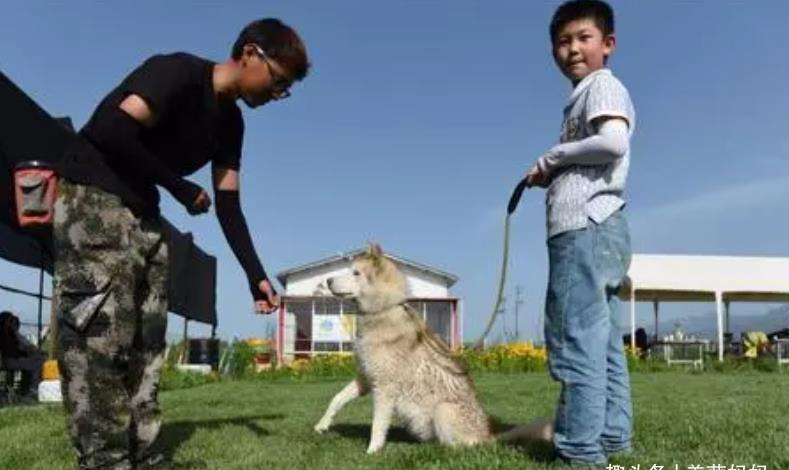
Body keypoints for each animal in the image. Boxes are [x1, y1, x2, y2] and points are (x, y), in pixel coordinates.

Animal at [310, 244, 552, 454]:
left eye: (356, 273)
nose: (327, 280)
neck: (382, 311)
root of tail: (489, 435)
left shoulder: (384, 389)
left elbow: (377, 425)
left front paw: (372, 451)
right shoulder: (367, 379)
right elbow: (337, 399)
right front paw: (322, 424)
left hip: (442, 410)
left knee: (469, 446)